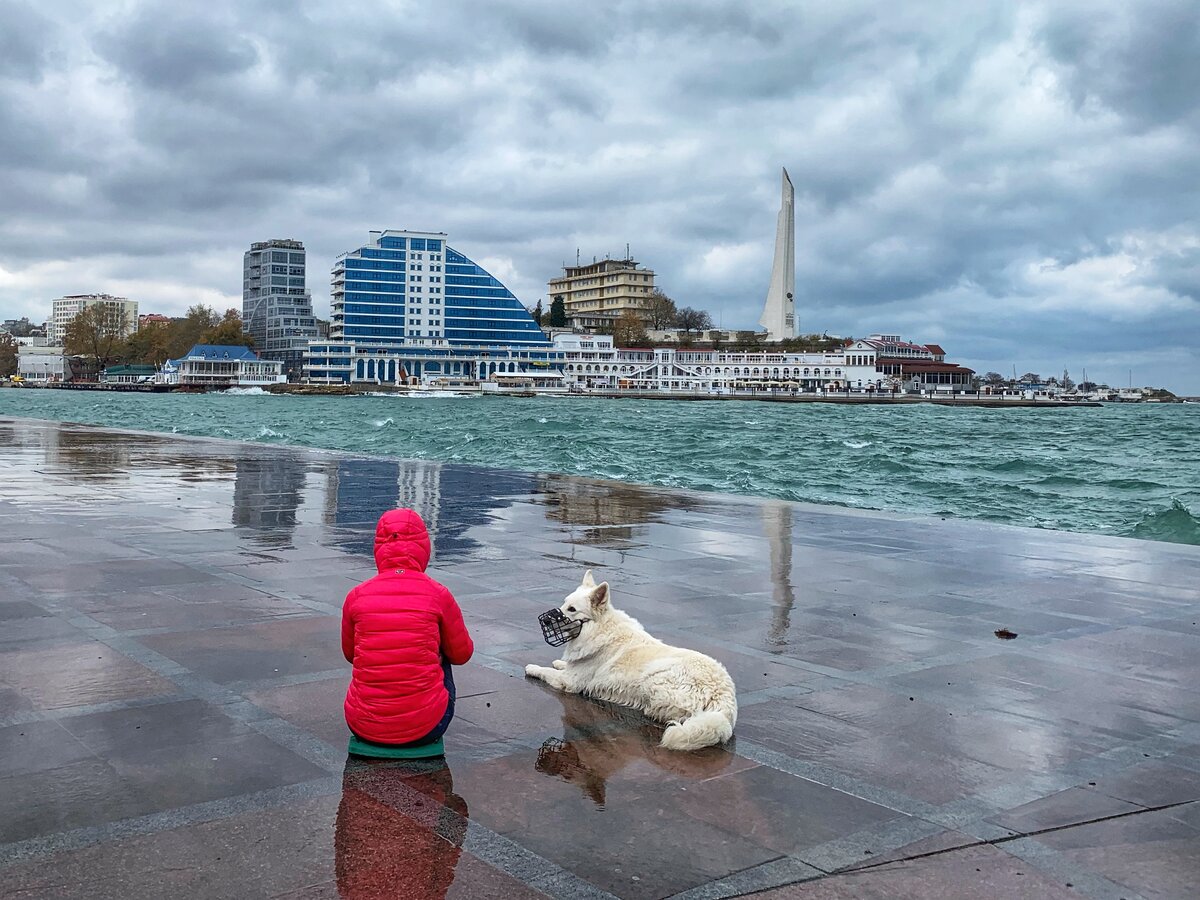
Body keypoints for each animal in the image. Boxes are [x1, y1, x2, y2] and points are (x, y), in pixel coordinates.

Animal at [528, 571, 734, 753]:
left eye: (572, 609)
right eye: (563, 604)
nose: (545, 621)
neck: (599, 628)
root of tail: (725, 698)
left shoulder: (569, 682)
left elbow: (546, 671)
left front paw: (532, 667)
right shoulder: (573, 670)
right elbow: (564, 665)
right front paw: (559, 662)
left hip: (656, 678)